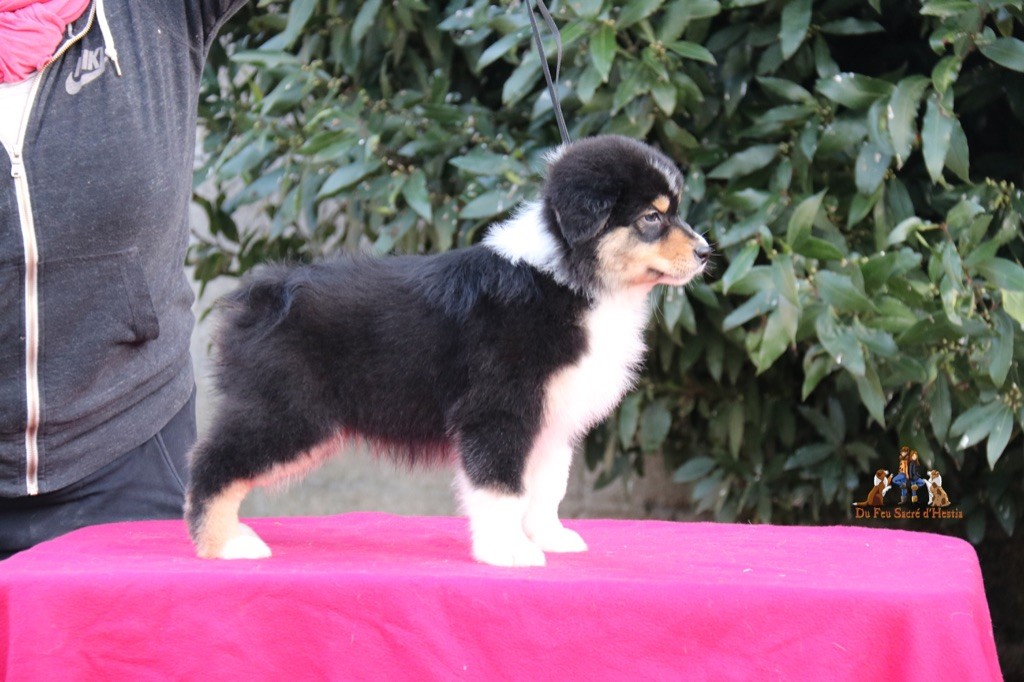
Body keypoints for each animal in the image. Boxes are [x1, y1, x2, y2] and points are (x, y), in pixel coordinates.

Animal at [185, 135, 711, 567]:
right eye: (652, 217)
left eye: (674, 210)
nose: (707, 252)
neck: (569, 278)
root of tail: (261, 293)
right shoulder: (498, 410)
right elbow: (501, 487)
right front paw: (508, 552)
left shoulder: (551, 418)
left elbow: (546, 487)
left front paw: (550, 538)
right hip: (288, 411)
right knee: (211, 462)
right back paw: (224, 543)